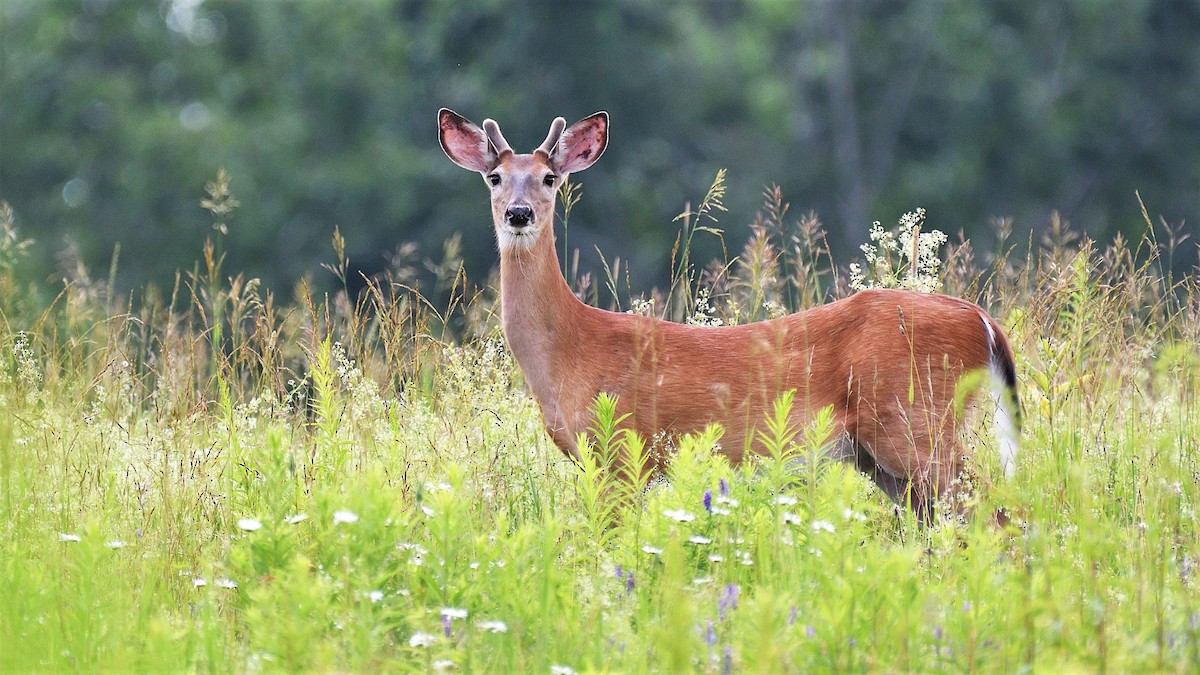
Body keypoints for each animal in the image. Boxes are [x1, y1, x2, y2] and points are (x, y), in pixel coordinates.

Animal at [438, 108, 1020, 520]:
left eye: (548, 178)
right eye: (494, 177)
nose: (518, 214)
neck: (572, 349)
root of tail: (983, 323)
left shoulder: (624, 449)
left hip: (915, 421)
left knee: (994, 510)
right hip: (884, 458)